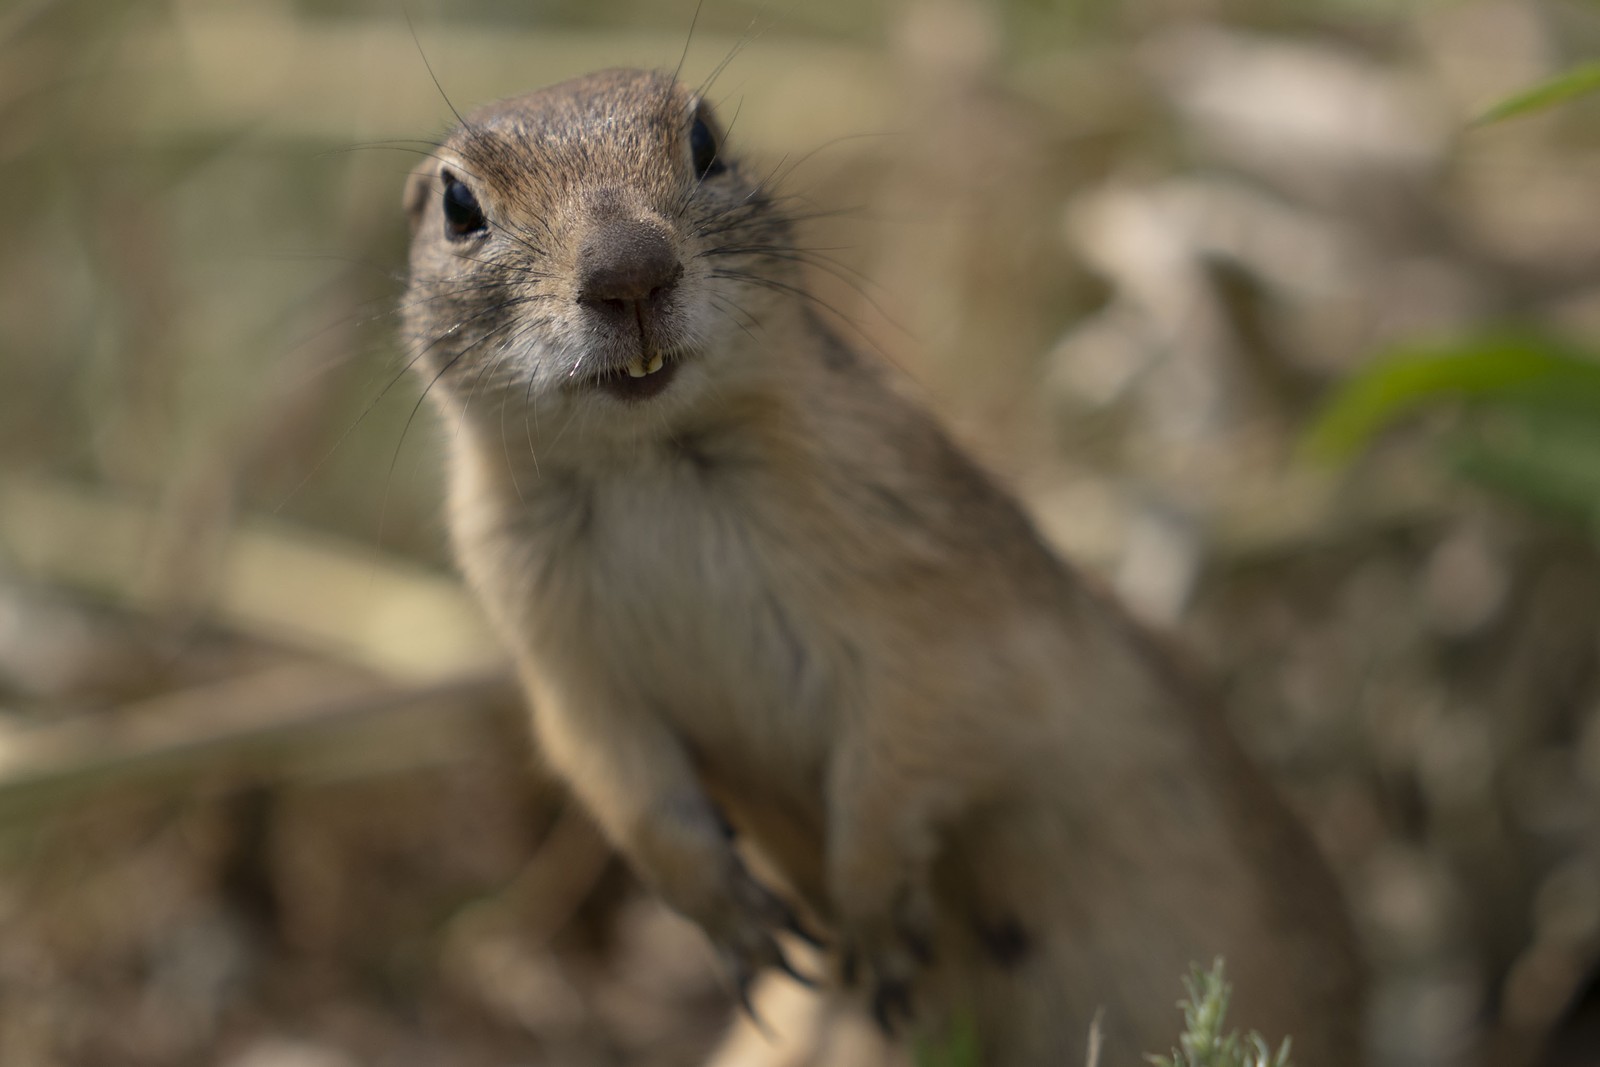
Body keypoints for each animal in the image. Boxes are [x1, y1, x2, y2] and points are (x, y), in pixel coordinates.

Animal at [399, 67, 1365, 1064]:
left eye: (706, 142)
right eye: (458, 205)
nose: (629, 269)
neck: (647, 460)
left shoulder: (930, 589)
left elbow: (912, 739)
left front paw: (869, 909)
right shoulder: (560, 650)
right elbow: (617, 773)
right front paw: (740, 925)